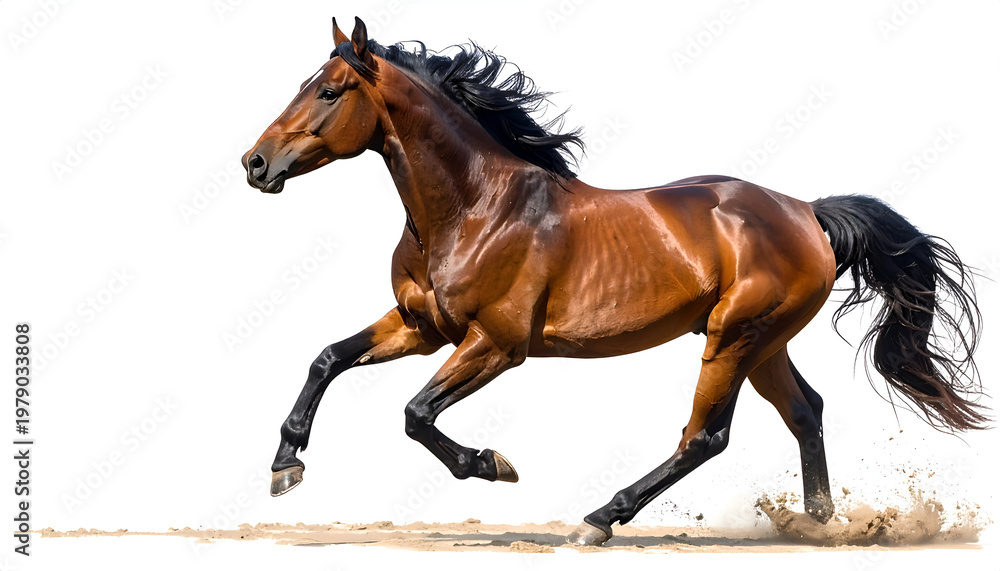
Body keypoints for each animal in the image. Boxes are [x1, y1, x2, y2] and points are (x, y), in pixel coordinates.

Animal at [242, 17, 987, 546]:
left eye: (329, 91)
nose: (254, 163)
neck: (473, 207)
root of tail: (806, 211)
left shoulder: (496, 344)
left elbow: (416, 414)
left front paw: (492, 463)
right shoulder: (422, 327)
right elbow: (327, 358)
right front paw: (285, 465)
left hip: (734, 337)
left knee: (705, 436)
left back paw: (599, 519)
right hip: (764, 341)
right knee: (806, 411)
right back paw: (821, 525)